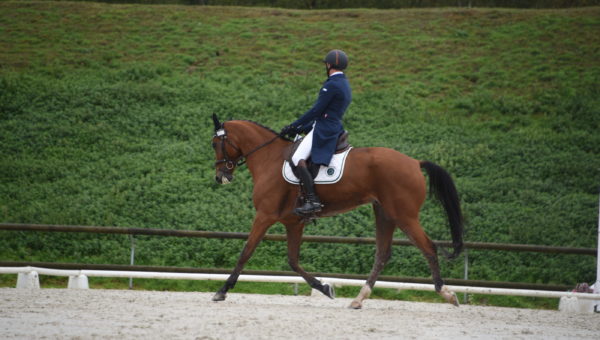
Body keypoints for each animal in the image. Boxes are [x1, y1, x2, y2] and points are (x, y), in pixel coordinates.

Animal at [211, 114, 464, 308]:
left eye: (214, 144)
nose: (221, 176)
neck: (269, 158)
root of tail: (414, 162)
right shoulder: (293, 223)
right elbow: (293, 261)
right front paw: (324, 287)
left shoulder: (264, 216)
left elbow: (246, 252)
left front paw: (222, 290)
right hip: (385, 214)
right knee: (382, 254)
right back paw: (359, 299)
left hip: (405, 216)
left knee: (428, 247)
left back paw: (447, 294)